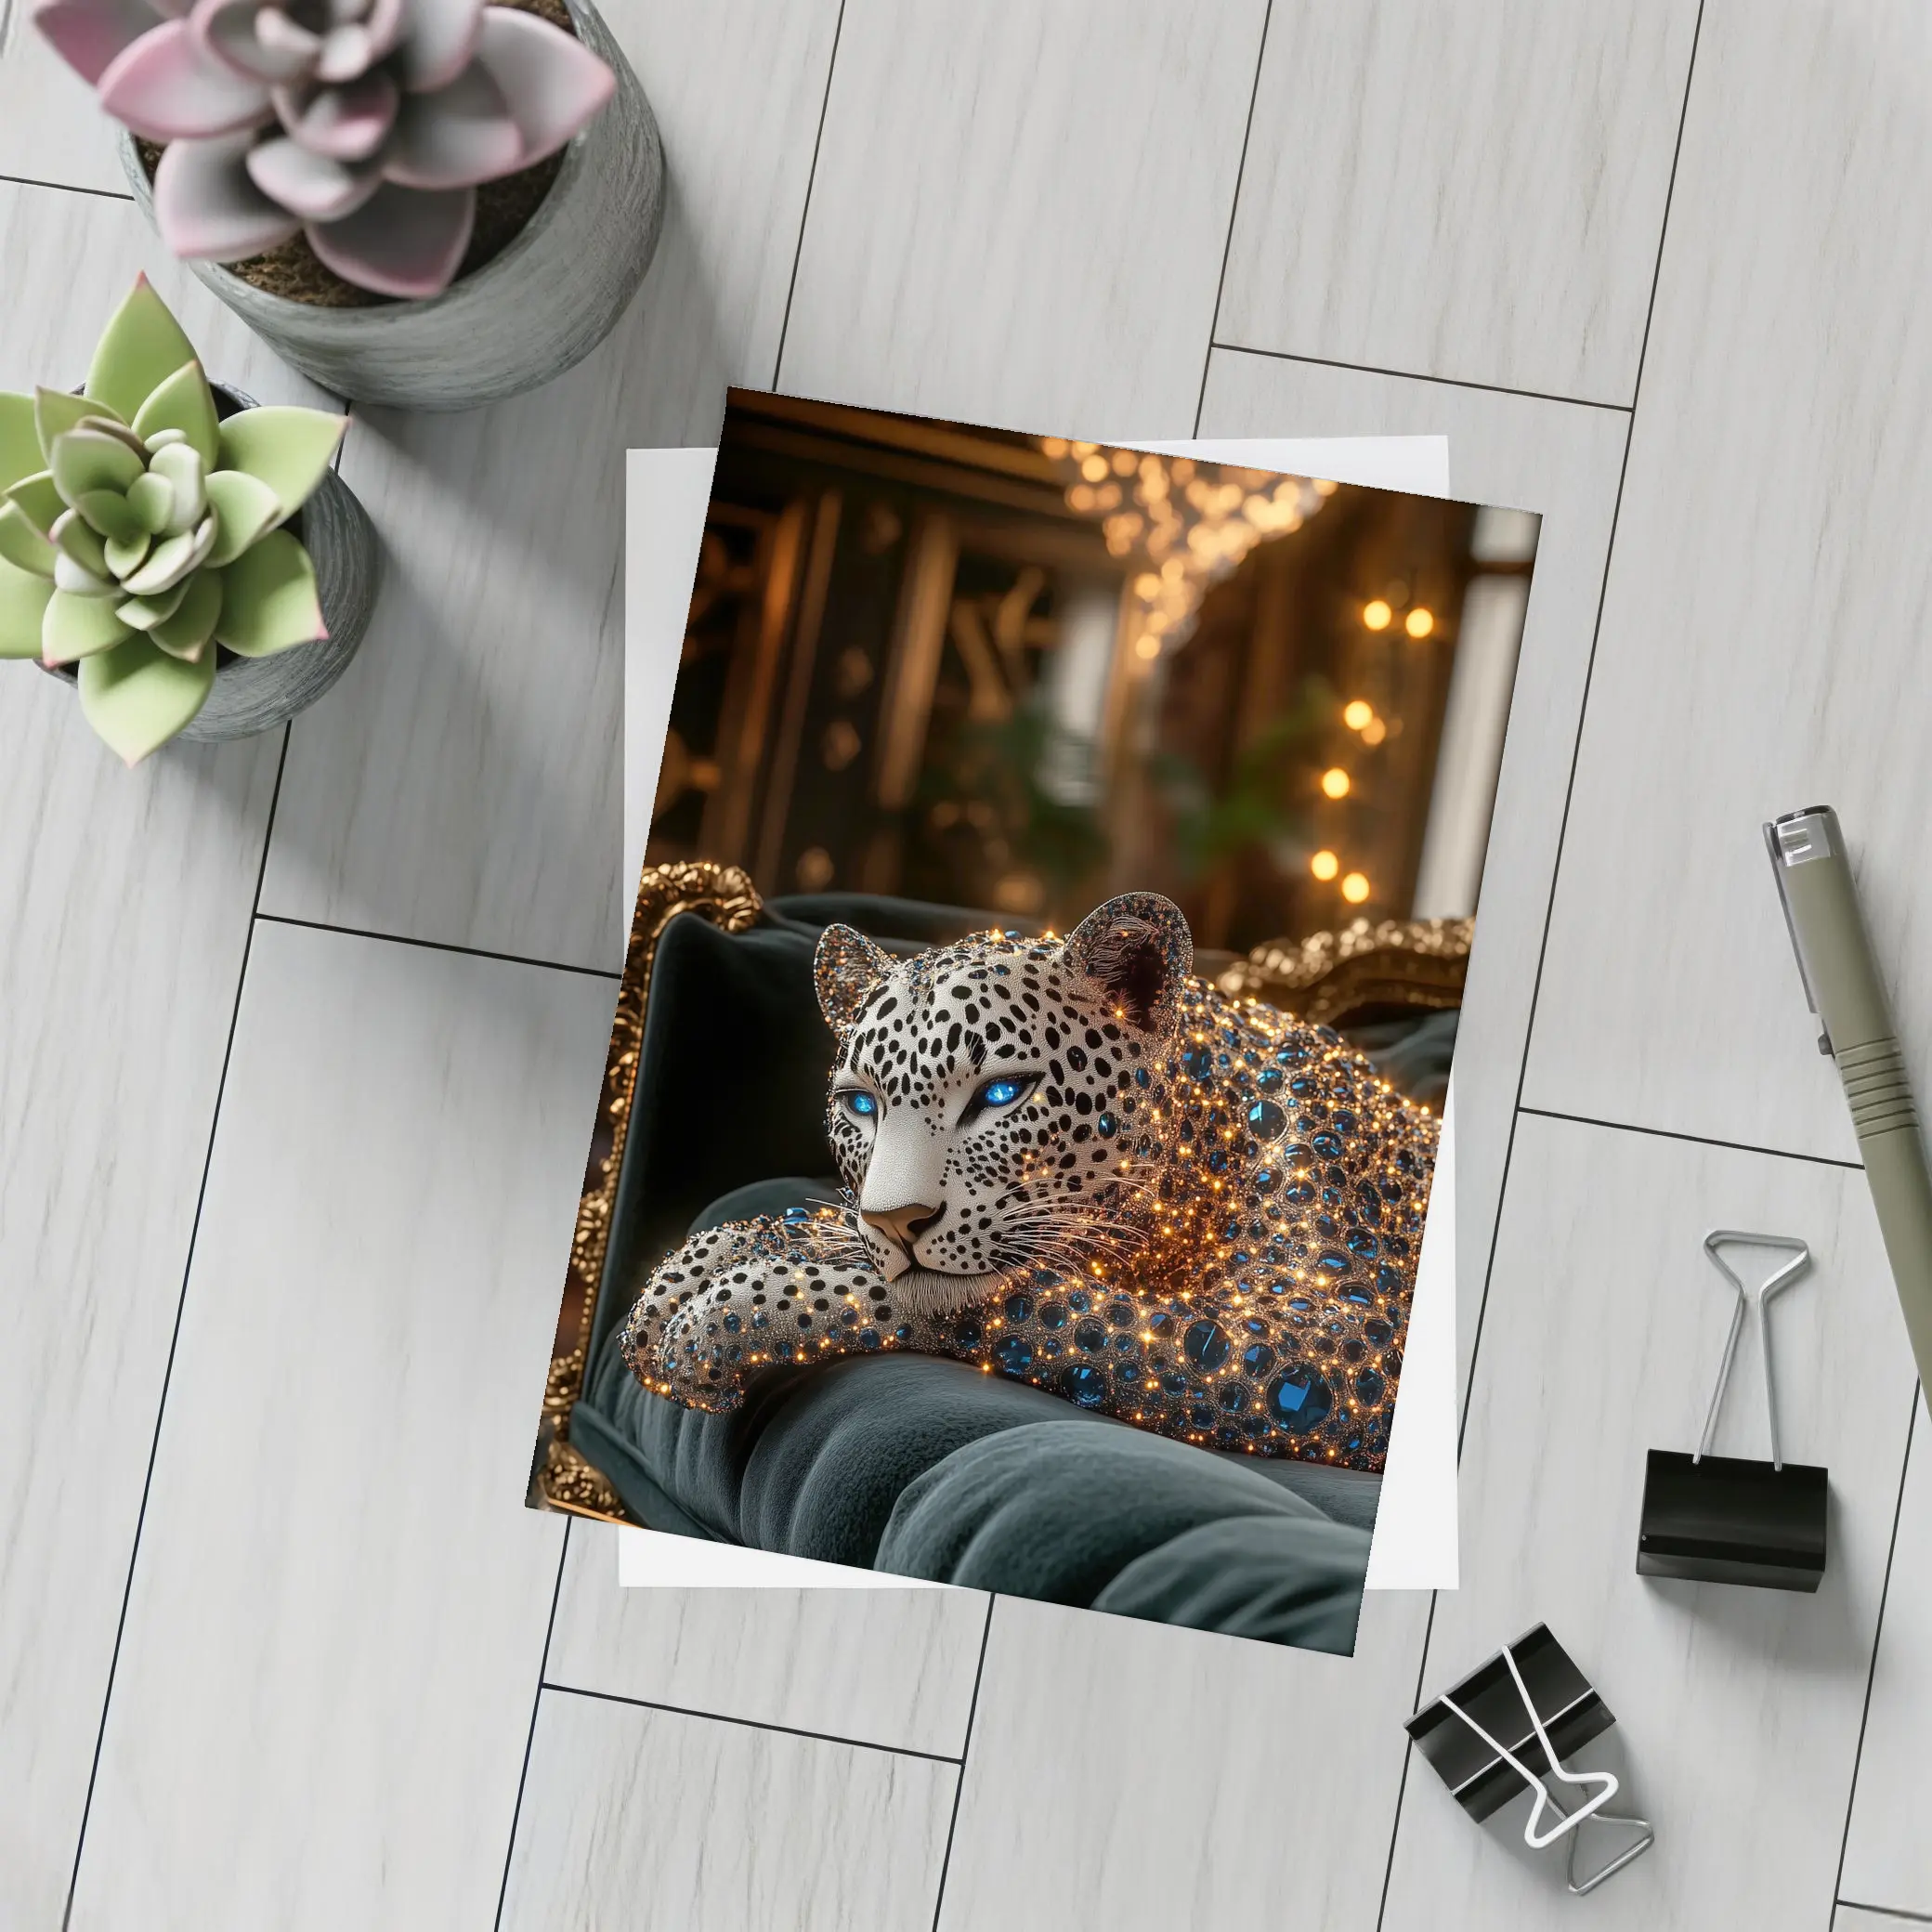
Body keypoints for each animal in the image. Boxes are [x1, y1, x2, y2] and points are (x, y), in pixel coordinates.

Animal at [618, 891, 1440, 1468]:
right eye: (860, 1105)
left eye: (1002, 1094)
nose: (895, 1222)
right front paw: (697, 1268)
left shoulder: (1336, 1346)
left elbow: (1024, 1302)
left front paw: (726, 1312)